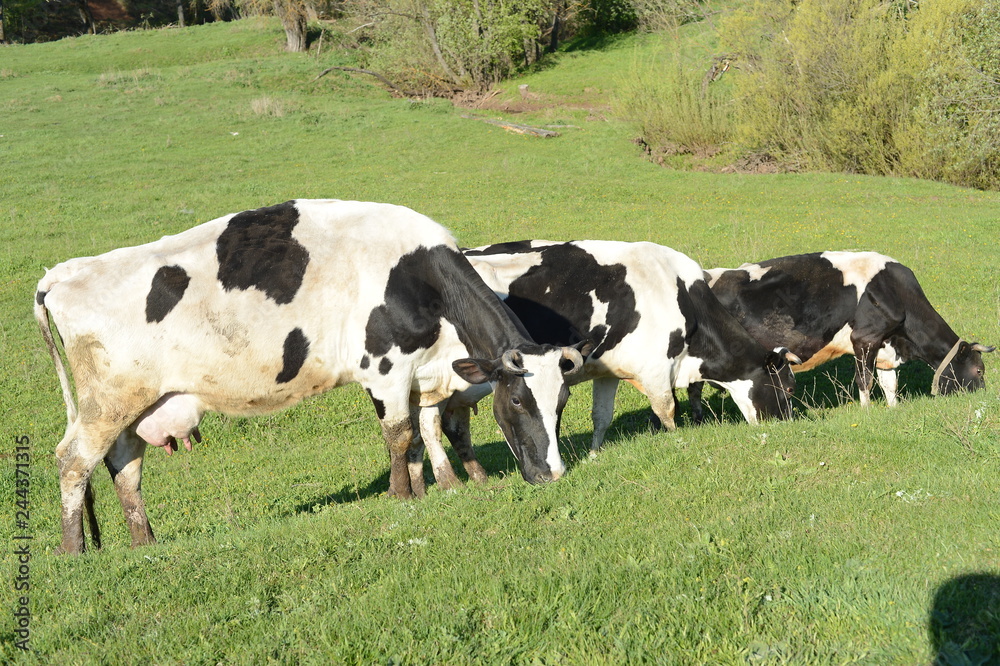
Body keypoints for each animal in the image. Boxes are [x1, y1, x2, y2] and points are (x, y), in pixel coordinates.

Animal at [35, 200, 584, 552]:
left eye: (560, 403)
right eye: (518, 401)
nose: (553, 473)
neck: (419, 275)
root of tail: (64, 272)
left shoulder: (412, 373)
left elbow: (411, 437)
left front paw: (421, 489)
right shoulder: (385, 368)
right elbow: (398, 434)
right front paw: (401, 496)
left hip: (138, 405)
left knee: (125, 468)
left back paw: (143, 544)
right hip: (106, 402)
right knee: (73, 461)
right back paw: (74, 551)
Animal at [450, 239, 800, 452]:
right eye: (788, 388)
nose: (787, 425)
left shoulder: (606, 370)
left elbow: (602, 415)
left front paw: (594, 453)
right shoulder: (656, 369)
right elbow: (667, 410)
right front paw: (677, 442)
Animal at [700, 250, 996, 416]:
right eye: (979, 371)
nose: (982, 397)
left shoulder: (885, 345)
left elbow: (889, 383)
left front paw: (894, 409)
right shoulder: (864, 338)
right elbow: (864, 380)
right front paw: (867, 411)